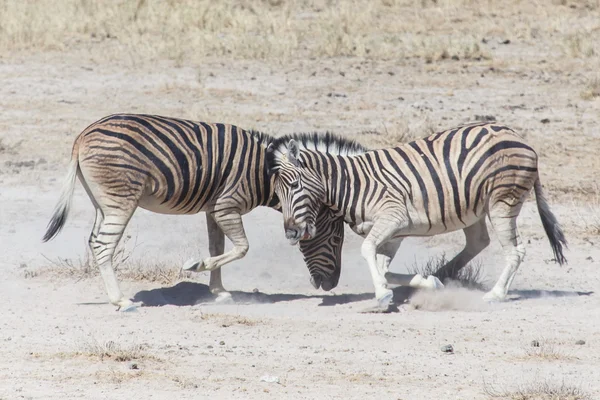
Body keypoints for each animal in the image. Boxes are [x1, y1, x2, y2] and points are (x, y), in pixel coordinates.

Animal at [42, 114, 344, 310]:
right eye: (336, 239)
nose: (331, 285)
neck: (266, 174)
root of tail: (84, 134)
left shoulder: (213, 209)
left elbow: (217, 246)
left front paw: (219, 292)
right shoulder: (226, 206)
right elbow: (242, 248)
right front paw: (196, 266)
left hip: (102, 202)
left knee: (94, 240)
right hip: (121, 199)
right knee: (104, 245)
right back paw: (121, 301)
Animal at [268, 123, 568, 310]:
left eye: (294, 185)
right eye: (278, 193)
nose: (291, 233)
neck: (352, 183)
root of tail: (522, 140)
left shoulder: (394, 217)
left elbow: (368, 251)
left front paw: (381, 296)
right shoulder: (393, 233)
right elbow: (383, 267)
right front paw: (425, 282)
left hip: (501, 203)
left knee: (515, 251)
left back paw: (495, 295)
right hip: (474, 209)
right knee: (478, 242)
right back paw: (443, 275)